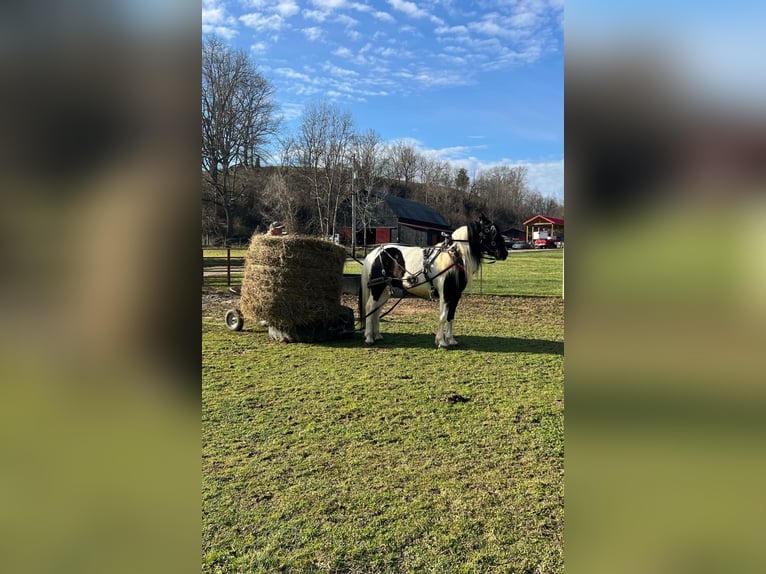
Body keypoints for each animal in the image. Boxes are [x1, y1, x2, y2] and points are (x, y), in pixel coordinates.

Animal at [360, 216, 510, 348]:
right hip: (377, 288)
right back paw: (368, 338)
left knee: (377, 310)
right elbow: (443, 316)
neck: (454, 258)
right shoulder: (446, 294)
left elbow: (451, 317)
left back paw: (377, 335)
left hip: (384, 290)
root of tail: (374, 253)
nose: (504, 253)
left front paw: (451, 340)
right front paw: (441, 342)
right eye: (489, 231)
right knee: (370, 307)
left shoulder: (456, 295)